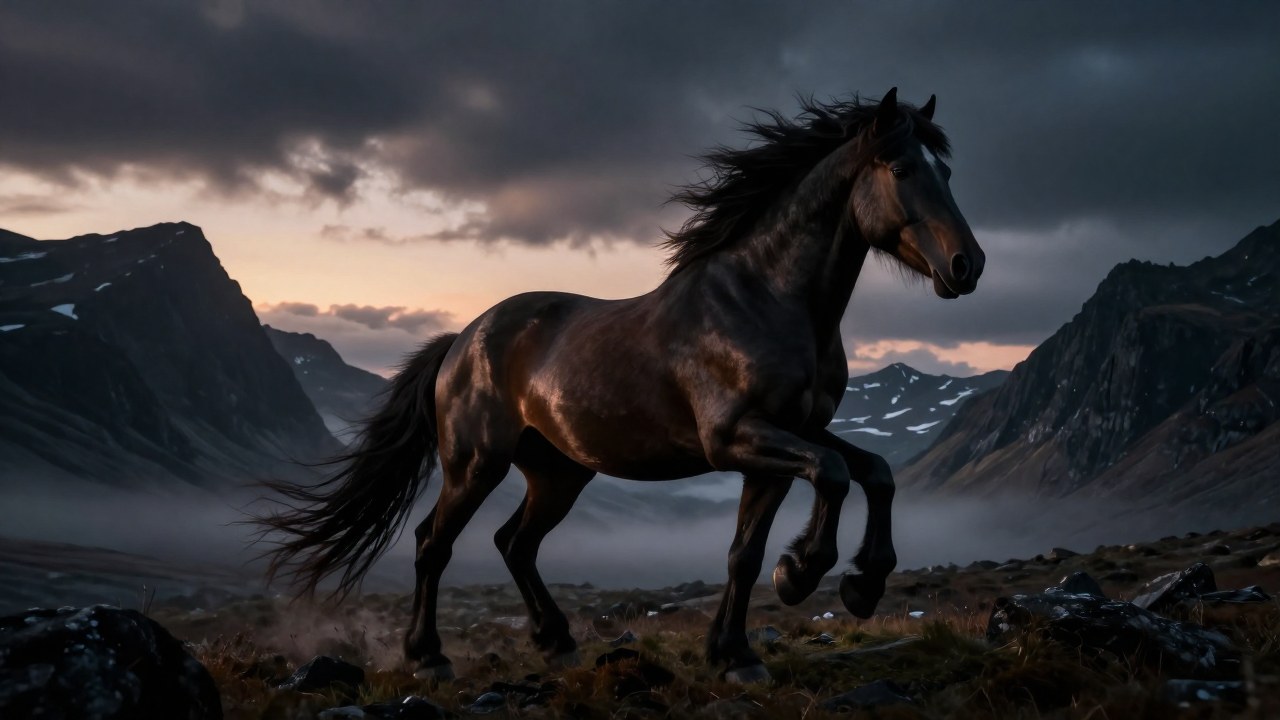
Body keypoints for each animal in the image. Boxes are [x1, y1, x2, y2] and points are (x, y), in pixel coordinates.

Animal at [257, 87, 985, 683]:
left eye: (947, 170)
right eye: (902, 168)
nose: (967, 265)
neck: (768, 302)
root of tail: (462, 340)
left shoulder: (787, 440)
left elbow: (808, 512)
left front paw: (757, 642)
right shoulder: (737, 439)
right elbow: (831, 476)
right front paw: (803, 572)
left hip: (558, 471)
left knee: (513, 543)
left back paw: (556, 641)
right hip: (476, 463)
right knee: (435, 543)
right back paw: (429, 656)